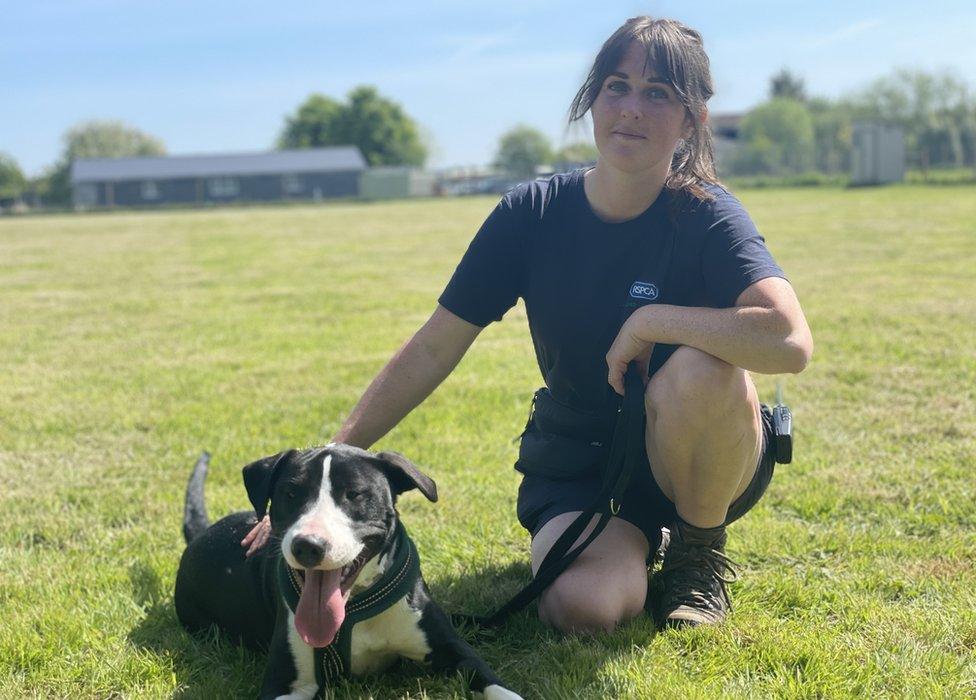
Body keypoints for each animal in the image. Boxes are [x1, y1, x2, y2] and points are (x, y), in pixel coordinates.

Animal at [178, 446, 524, 700]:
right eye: (290, 493)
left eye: (355, 494)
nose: (308, 546)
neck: (354, 606)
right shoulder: (285, 684)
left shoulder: (453, 650)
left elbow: (495, 684)